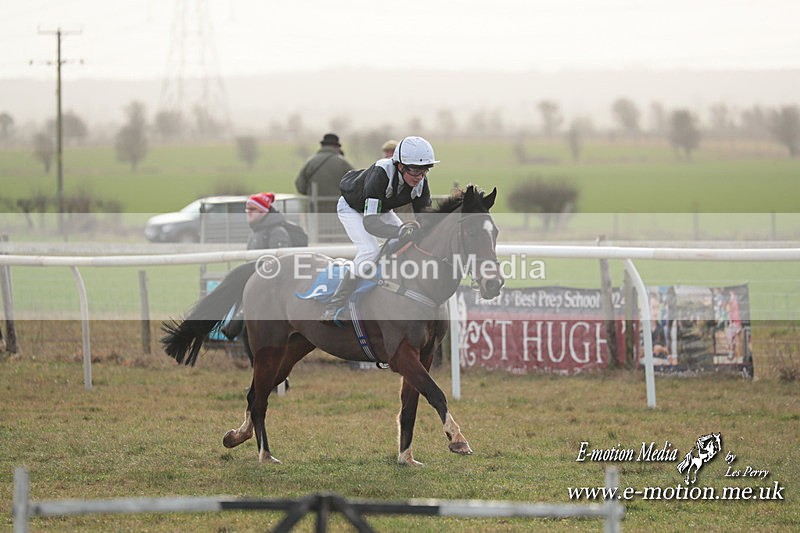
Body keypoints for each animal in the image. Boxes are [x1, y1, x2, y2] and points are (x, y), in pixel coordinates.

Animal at [161, 185, 504, 465]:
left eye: (496, 233)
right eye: (471, 234)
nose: (495, 284)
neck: (418, 282)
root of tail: (263, 264)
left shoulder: (426, 354)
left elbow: (411, 405)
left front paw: (406, 458)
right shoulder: (401, 355)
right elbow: (435, 393)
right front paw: (458, 439)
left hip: (293, 348)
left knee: (256, 392)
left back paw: (237, 436)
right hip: (267, 348)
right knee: (259, 399)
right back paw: (265, 455)